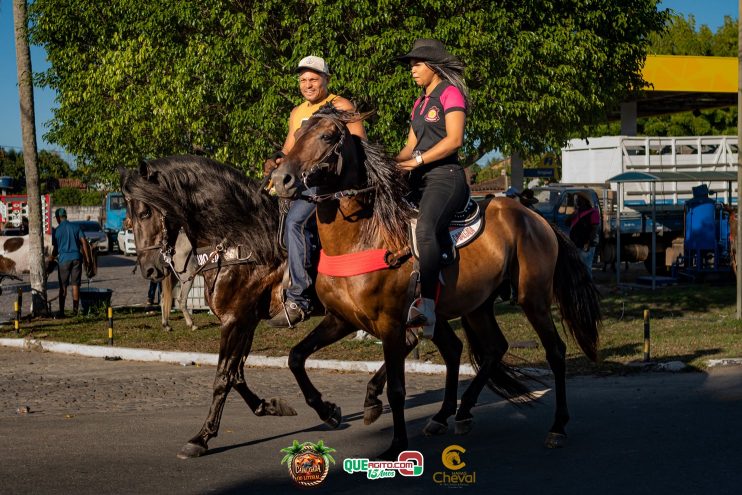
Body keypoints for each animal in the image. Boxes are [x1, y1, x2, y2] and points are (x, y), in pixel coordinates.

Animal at [274, 107, 604, 462]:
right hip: (477, 306)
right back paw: (455, 413)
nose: (281, 180)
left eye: (326, 136)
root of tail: (537, 218)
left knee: (554, 351)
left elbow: (397, 388)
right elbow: (296, 356)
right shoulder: (343, 319)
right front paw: (328, 411)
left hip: (534, 300)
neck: (361, 235)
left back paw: (557, 427)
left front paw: (396, 445)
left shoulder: (391, 324)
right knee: (487, 349)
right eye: (298, 133)